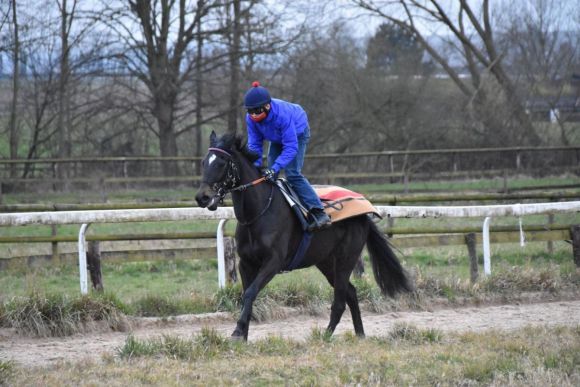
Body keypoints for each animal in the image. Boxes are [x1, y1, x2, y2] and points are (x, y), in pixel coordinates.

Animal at [195, 132, 412, 342]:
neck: (257, 213)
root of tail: (364, 210)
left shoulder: (273, 262)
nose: (202, 197)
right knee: (350, 292)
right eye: (204, 162)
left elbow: (250, 293)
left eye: (222, 162)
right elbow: (247, 294)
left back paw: (325, 336)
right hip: (325, 261)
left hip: (346, 258)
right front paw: (243, 334)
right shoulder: (246, 263)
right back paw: (359, 334)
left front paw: (238, 332)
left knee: (341, 299)